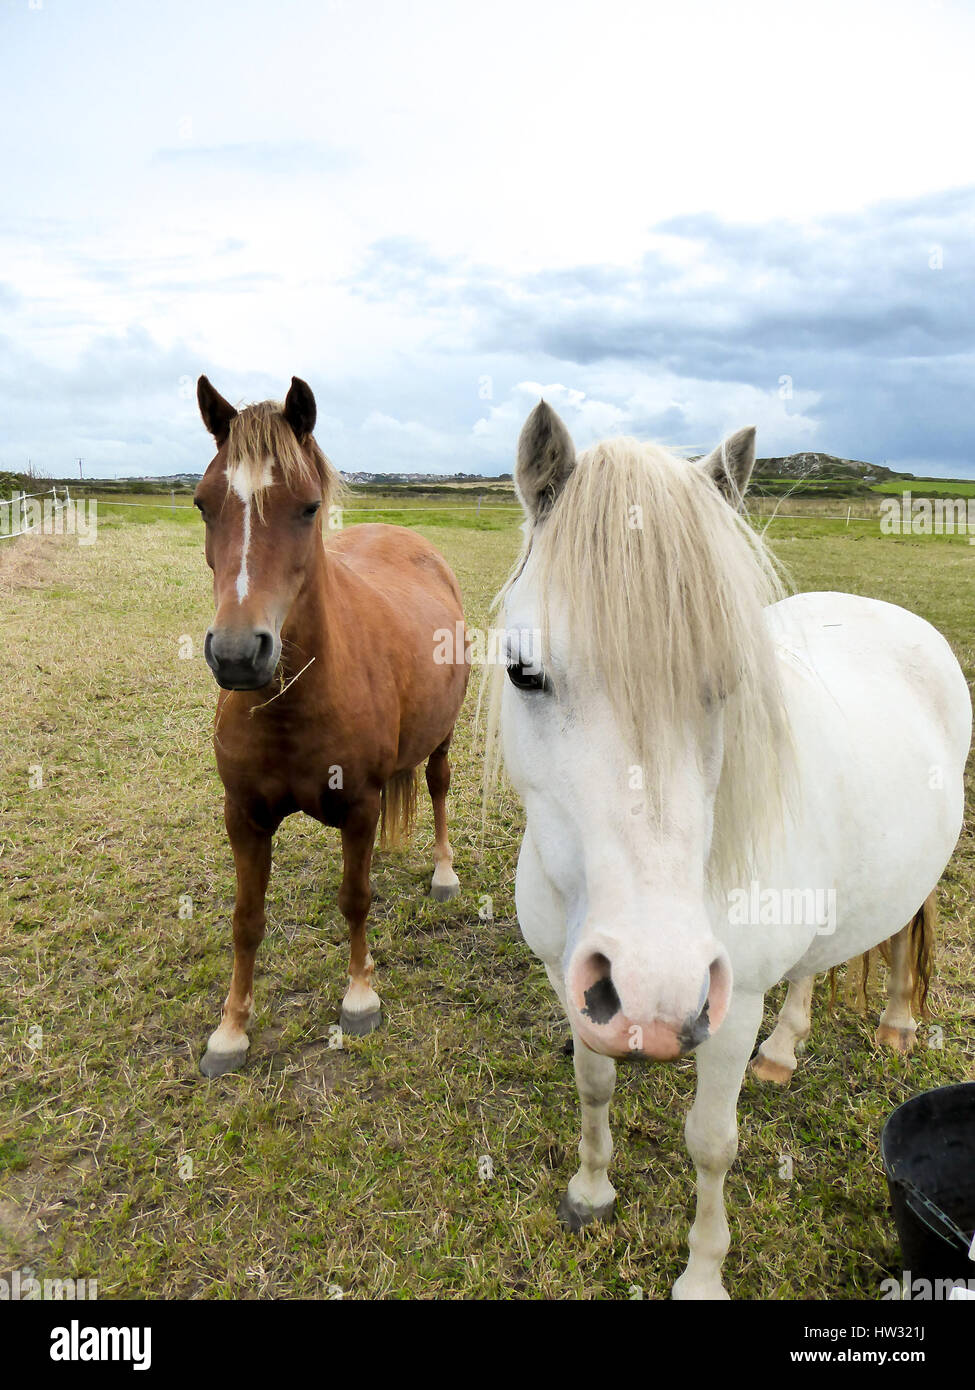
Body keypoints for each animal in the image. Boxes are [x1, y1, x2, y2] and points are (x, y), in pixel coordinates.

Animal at [193, 376, 468, 1078]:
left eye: (309, 507)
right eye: (204, 504)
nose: (238, 654)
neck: (292, 706)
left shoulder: (362, 807)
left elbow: (355, 898)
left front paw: (360, 998)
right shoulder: (242, 815)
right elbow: (247, 918)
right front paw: (231, 1030)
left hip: (442, 739)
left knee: (438, 788)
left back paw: (444, 874)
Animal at [492, 401, 971, 1299]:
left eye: (730, 682)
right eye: (522, 671)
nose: (651, 988)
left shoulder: (731, 1002)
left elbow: (710, 1145)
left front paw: (702, 1275)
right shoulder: (565, 978)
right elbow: (593, 1083)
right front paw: (590, 1191)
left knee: (906, 925)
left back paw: (895, 1023)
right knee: (813, 963)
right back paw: (782, 1052)